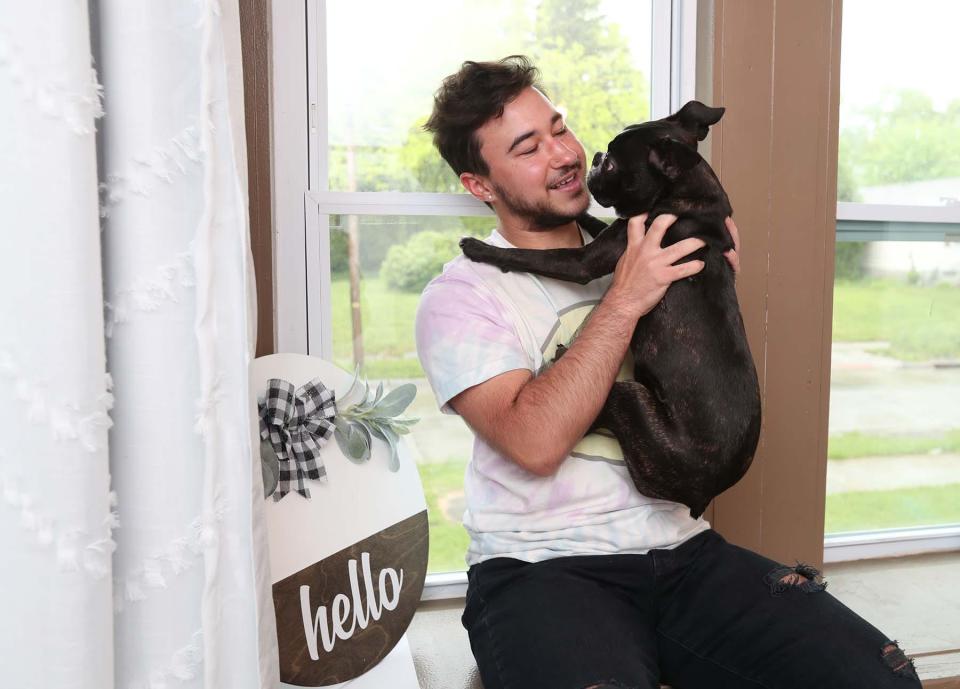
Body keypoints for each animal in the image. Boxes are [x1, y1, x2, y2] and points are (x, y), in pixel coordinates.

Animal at [462, 99, 760, 512]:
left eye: (614, 165)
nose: (597, 157)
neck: (685, 193)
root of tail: (705, 491)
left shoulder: (585, 260)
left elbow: (534, 255)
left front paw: (480, 249)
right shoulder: (615, 233)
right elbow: (594, 221)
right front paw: (582, 214)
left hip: (630, 399)